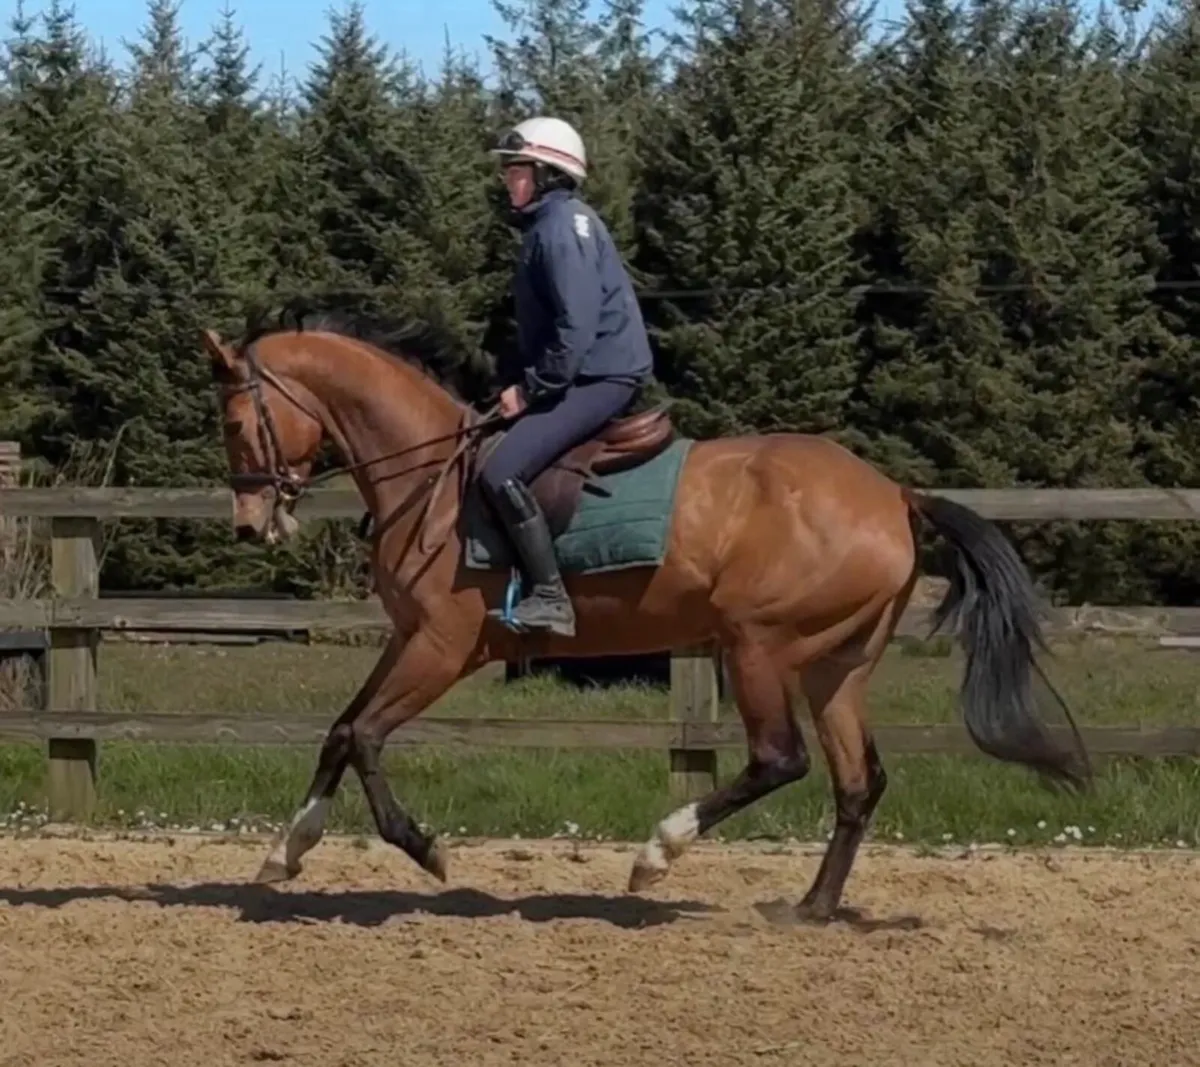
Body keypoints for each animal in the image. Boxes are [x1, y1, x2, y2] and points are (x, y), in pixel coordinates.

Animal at [200, 304, 1090, 924]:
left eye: (237, 421)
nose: (247, 523)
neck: (430, 478)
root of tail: (894, 492)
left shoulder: (446, 648)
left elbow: (366, 734)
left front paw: (424, 849)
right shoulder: (410, 639)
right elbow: (340, 729)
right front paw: (286, 849)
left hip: (756, 646)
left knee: (780, 759)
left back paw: (657, 854)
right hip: (836, 666)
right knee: (855, 781)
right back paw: (810, 907)